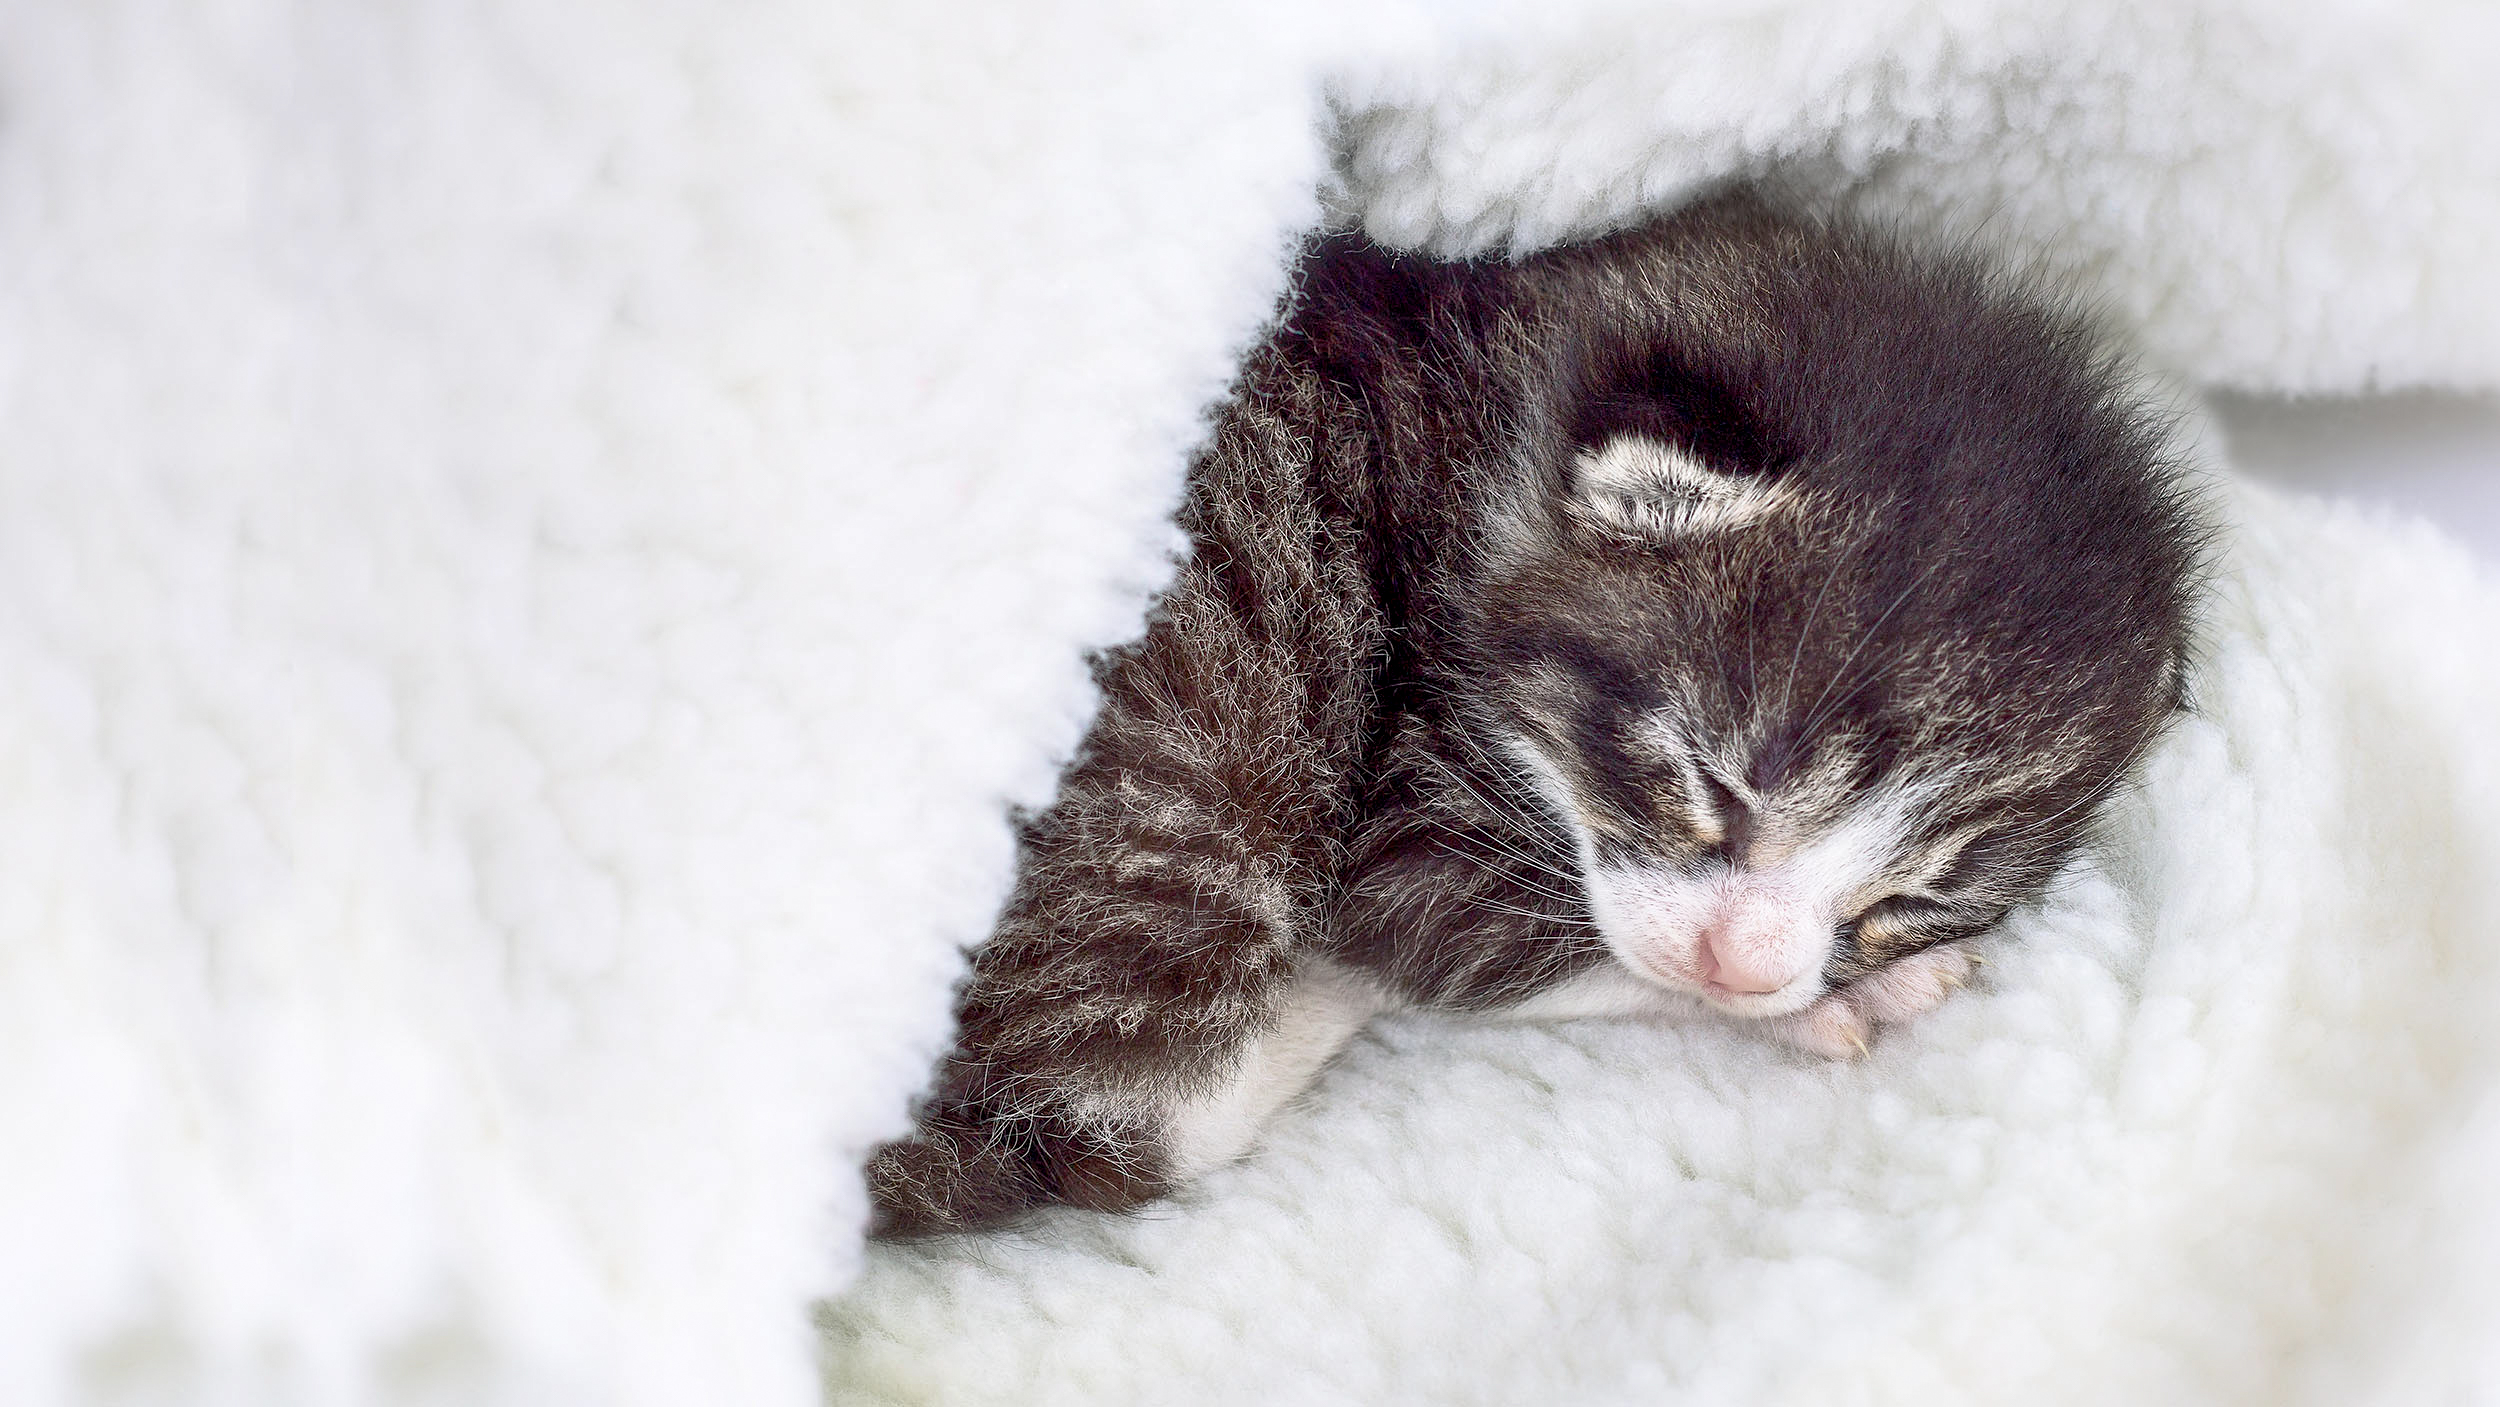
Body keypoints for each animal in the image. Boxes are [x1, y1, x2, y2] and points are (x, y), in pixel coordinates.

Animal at [870, 192, 2200, 1239]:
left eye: (1911, 895)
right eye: (1713, 785)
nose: (1744, 966)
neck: (1487, 428)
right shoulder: (1397, 795)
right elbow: (1465, 939)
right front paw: (1816, 999)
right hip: (1196, 780)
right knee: (1129, 1129)